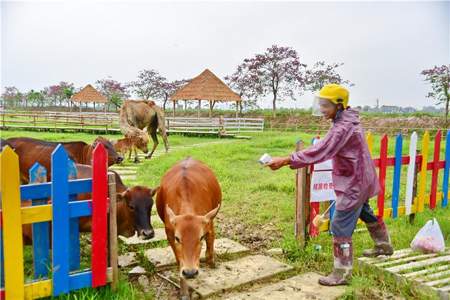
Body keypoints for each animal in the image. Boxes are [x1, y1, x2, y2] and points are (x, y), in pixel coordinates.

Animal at [156, 158, 221, 298]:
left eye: (201, 237)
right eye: (177, 238)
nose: (191, 273)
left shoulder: (208, 223)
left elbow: (209, 248)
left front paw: (211, 262)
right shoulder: (169, 232)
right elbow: (179, 260)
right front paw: (184, 290)